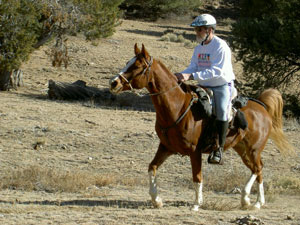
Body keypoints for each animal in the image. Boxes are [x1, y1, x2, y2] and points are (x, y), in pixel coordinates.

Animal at [109, 44, 294, 211]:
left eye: (136, 66)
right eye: (127, 62)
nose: (113, 83)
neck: (178, 107)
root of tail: (262, 107)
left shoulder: (194, 151)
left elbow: (197, 177)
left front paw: (197, 204)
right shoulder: (166, 147)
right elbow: (152, 167)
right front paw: (157, 200)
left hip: (253, 149)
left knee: (258, 168)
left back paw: (251, 200)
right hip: (242, 149)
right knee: (258, 169)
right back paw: (254, 201)